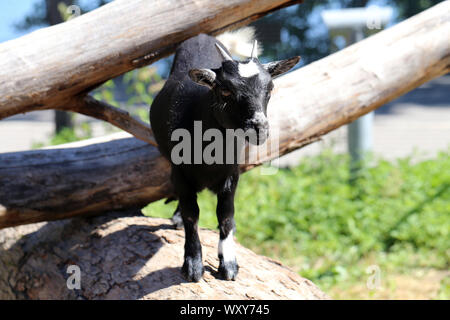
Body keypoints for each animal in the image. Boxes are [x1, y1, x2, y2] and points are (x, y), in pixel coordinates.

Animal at [149, 28, 300, 282]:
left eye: (270, 89)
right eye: (226, 90)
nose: (259, 128)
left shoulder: (232, 172)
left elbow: (226, 214)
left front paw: (228, 264)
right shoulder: (179, 171)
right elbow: (192, 213)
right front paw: (192, 265)